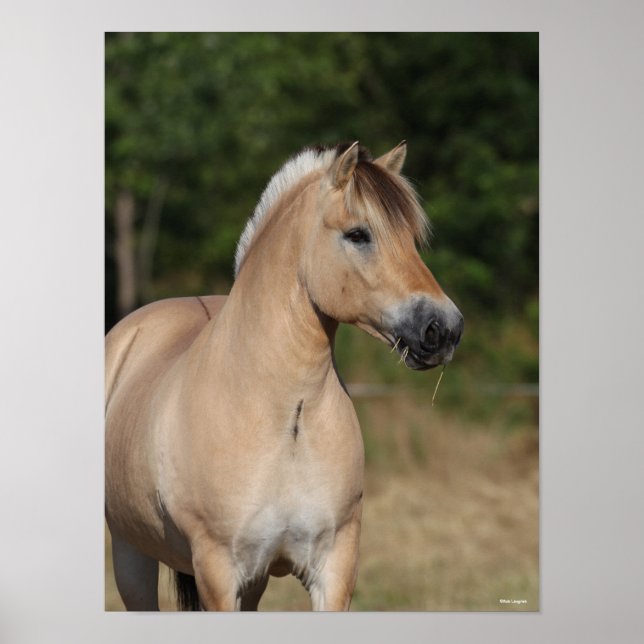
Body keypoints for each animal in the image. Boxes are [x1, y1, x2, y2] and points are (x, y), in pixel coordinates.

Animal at [105, 141, 464, 611]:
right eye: (358, 234)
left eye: (411, 238)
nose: (445, 329)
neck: (287, 416)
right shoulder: (218, 574)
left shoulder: (333, 569)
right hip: (131, 556)